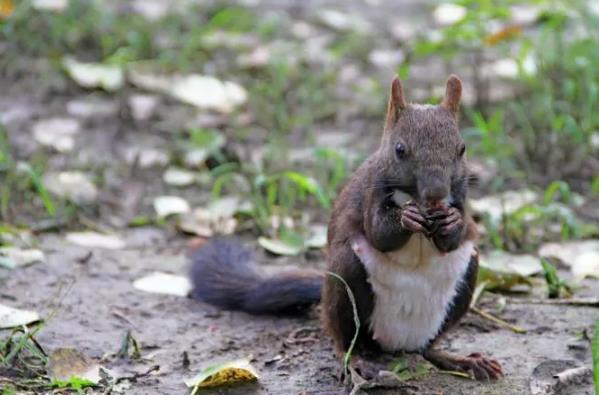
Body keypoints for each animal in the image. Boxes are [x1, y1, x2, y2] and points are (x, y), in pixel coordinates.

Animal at [190, 75, 504, 384]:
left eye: (462, 149)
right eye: (400, 150)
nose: (436, 193)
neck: (415, 199)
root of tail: (397, 343)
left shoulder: (460, 196)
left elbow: (454, 237)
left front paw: (451, 222)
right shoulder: (370, 193)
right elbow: (379, 233)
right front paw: (407, 218)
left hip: (468, 270)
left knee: (429, 348)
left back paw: (463, 361)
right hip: (345, 275)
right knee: (343, 339)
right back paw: (356, 363)